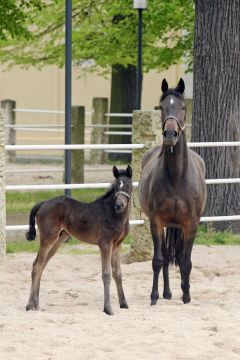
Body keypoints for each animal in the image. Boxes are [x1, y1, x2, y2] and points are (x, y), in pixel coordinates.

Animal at [25, 165, 133, 314]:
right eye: (116, 187)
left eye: (128, 187)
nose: (119, 205)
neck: (114, 214)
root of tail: (43, 203)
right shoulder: (105, 244)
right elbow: (106, 274)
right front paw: (108, 308)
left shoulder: (117, 245)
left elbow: (118, 273)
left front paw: (124, 304)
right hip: (48, 238)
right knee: (37, 266)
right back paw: (29, 305)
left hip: (59, 239)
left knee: (41, 265)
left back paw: (36, 304)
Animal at [138, 78, 207, 304]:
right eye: (162, 107)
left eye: (183, 107)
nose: (170, 134)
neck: (177, 177)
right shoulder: (156, 221)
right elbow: (159, 259)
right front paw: (154, 296)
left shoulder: (191, 224)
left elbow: (186, 262)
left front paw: (186, 296)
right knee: (167, 256)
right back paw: (166, 293)